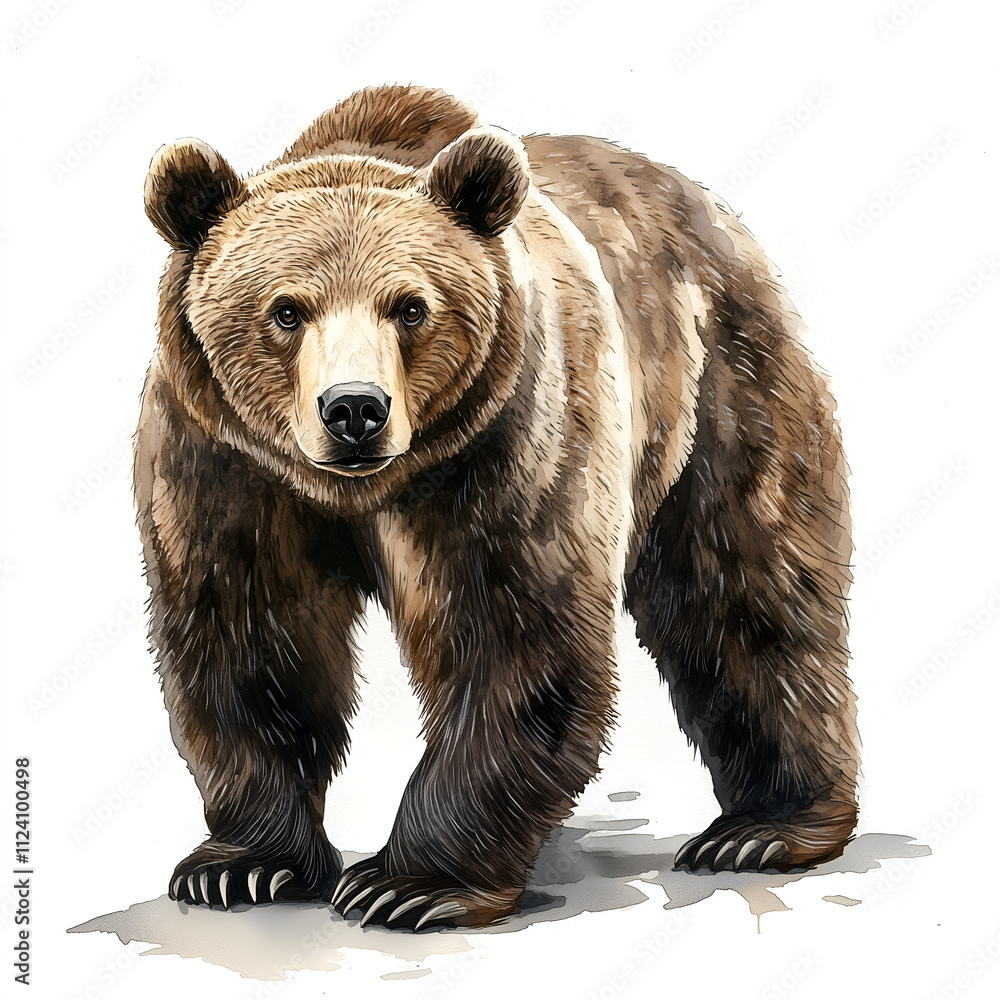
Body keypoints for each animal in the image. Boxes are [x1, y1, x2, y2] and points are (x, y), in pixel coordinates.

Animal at [135, 83, 859, 930]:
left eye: (410, 307)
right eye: (286, 310)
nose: (355, 409)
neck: (360, 489)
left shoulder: (507, 441)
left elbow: (514, 636)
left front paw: (407, 883)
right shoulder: (225, 463)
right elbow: (249, 637)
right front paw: (243, 865)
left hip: (720, 380)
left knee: (747, 589)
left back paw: (765, 828)